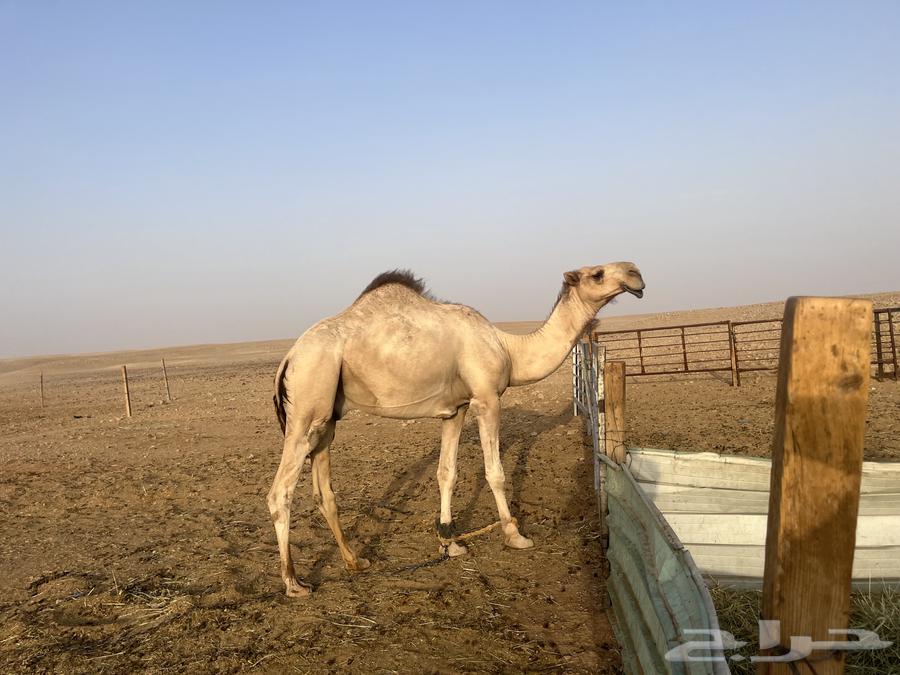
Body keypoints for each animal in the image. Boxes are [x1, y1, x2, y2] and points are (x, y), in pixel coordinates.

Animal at [268, 262, 645, 597]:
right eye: (597, 274)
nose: (636, 274)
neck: (509, 349)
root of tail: (288, 358)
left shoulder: (456, 409)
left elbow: (446, 472)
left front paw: (449, 541)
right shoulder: (487, 398)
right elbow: (494, 472)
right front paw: (515, 535)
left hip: (327, 419)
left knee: (325, 494)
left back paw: (355, 561)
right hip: (308, 403)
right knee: (280, 492)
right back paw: (293, 583)